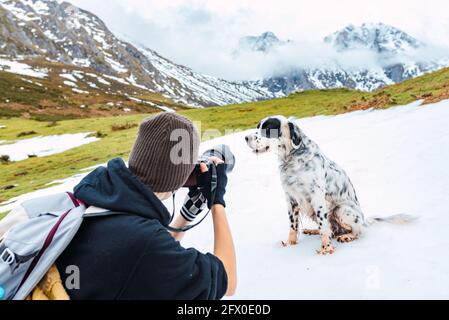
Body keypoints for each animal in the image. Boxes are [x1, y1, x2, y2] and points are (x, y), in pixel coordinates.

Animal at [243, 115, 412, 255]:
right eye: (258, 126)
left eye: (267, 129)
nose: (245, 137)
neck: (292, 159)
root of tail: (364, 220)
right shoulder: (290, 198)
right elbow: (293, 225)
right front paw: (290, 243)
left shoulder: (316, 197)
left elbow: (324, 226)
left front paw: (326, 248)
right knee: (331, 229)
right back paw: (313, 230)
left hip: (341, 209)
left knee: (356, 231)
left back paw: (346, 236)